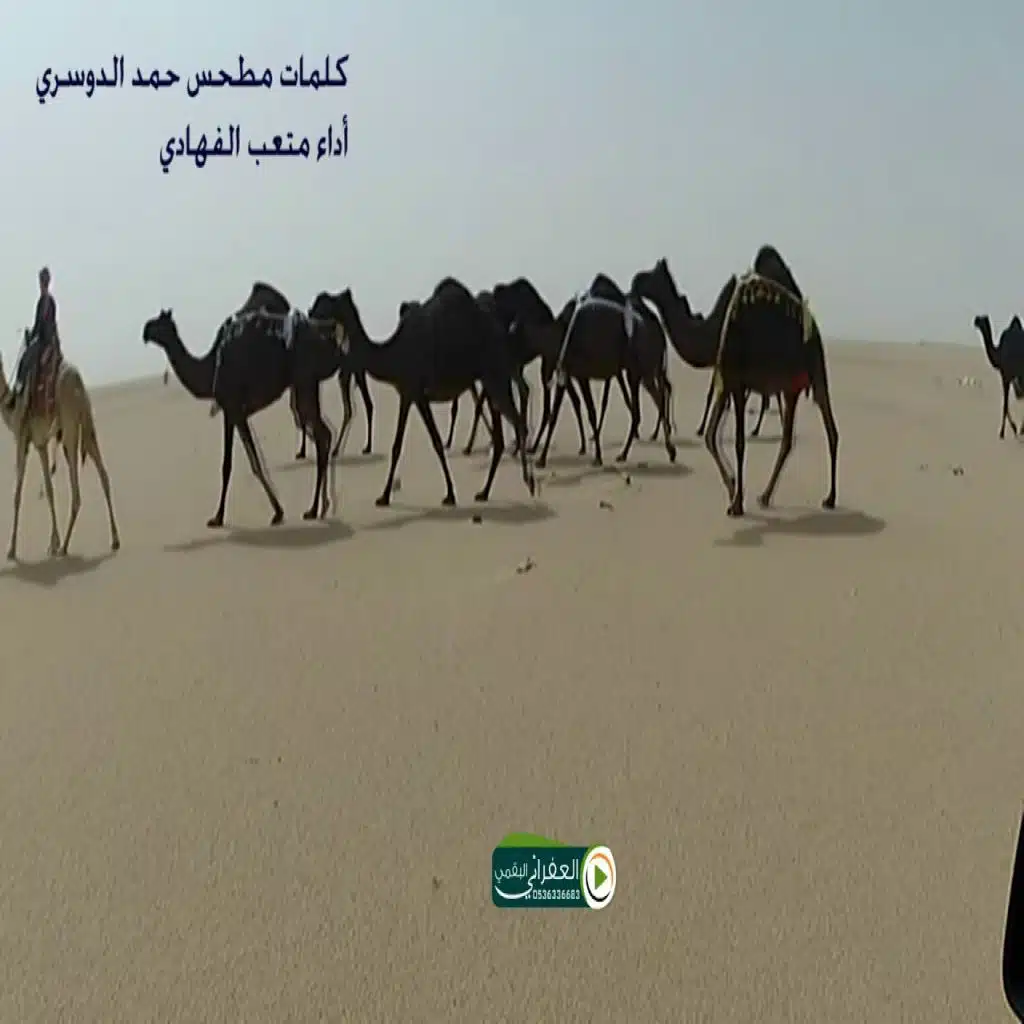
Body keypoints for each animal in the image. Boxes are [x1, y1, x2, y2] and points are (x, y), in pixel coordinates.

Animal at [0, 343, 119, 560]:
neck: (11, 406)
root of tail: (78, 381)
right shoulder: (41, 444)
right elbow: (49, 489)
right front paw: (52, 543)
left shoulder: (21, 440)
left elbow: (17, 493)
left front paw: (12, 550)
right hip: (87, 424)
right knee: (103, 475)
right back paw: (114, 540)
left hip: (70, 426)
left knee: (76, 490)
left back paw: (65, 546)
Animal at [143, 303, 341, 526]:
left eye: (159, 322)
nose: (145, 331)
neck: (211, 368)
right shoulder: (240, 415)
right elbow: (254, 461)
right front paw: (278, 511)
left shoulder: (231, 410)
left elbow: (227, 465)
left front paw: (218, 517)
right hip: (306, 384)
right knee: (323, 433)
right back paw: (322, 506)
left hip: (304, 380)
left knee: (321, 433)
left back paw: (314, 508)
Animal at [308, 279, 535, 507]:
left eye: (324, 303)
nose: (309, 312)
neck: (393, 353)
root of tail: (503, 336)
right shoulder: (410, 395)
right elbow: (405, 445)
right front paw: (388, 495)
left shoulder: (413, 392)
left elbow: (426, 443)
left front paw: (444, 494)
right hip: (491, 379)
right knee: (500, 436)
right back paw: (485, 491)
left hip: (495, 374)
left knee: (517, 423)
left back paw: (529, 482)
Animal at [633, 252, 838, 516]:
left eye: (653, 275)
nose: (635, 281)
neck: (714, 331)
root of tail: (814, 326)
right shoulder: (726, 379)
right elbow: (710, 436)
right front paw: (732, 488)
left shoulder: (737, 381)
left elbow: (739, 443)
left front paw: (737, 502)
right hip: (790, 387)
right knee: (787, 439)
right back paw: (766, 495)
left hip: (816, 367)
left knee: (830, 429)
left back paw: (830, 498)